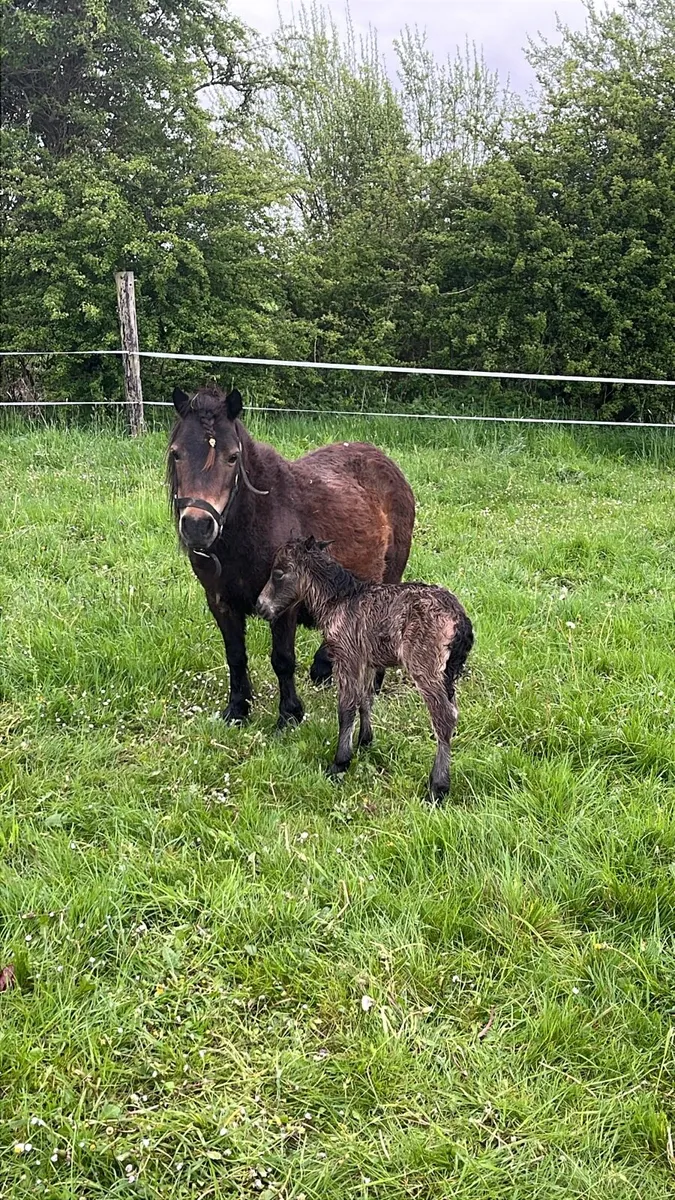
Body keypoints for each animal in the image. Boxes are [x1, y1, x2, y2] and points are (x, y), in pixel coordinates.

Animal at [167, 385, 416, 728]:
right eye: (177, 453)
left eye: (232, 457)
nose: (196, 525)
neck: (253, 523)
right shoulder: (220, 602)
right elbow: (236, 656)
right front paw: (238, 709)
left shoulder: (285, 603)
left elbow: (282, 660)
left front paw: (288, 716)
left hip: (390, 573)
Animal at [256, 536, 473, 801]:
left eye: (278, 573)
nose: (260, 606)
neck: (339, 600)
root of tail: (460, 620)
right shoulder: (367, 661)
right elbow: (365, 699)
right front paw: (365, 741)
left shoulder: (346, 656)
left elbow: (346, 707)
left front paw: (340, 763)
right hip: (449, 672)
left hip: (426, 665)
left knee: (444, 716)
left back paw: (437, 787)